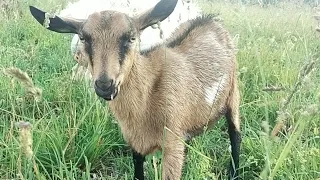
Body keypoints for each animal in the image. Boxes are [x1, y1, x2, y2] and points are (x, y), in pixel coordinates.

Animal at [30, 0, 241, 179]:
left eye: (131, 38)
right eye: (83, 37)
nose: (105, 85)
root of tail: (209, 19)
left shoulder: (171, 145)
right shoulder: (135, 144)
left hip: (233, 95)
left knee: (235, 135)